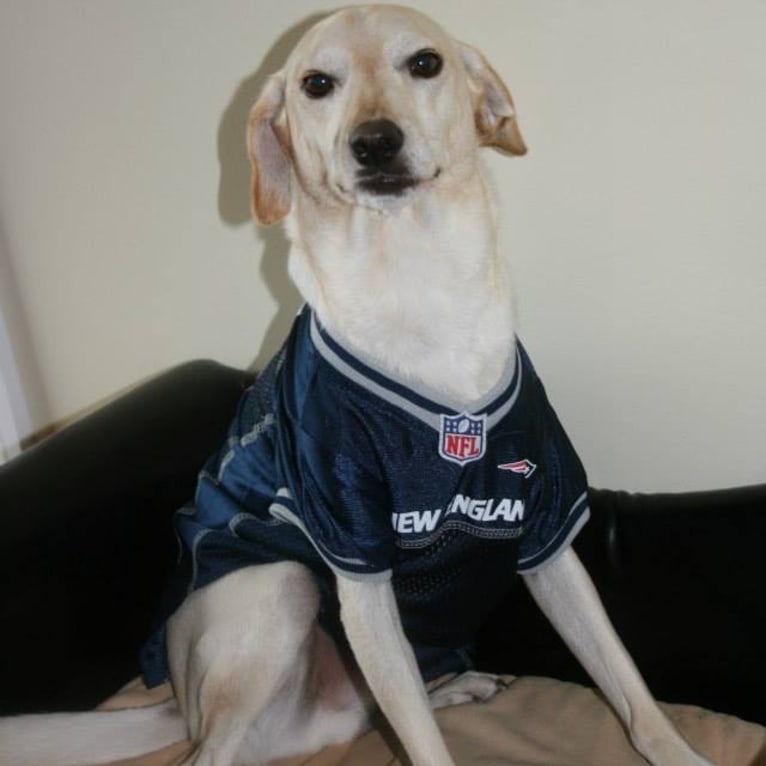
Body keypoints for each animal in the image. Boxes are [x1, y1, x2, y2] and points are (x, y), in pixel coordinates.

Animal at [0, 6, 720, 766]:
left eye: (425, 63)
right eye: (317, 83)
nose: (374, 142)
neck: (416, 275)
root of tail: (177, 703)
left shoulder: (549, 531)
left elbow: (627, 686)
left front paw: (677, 754)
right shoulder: (357, 560)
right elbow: (425, 742)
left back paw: (458, 686)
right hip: (277, 588)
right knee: (218, 751)